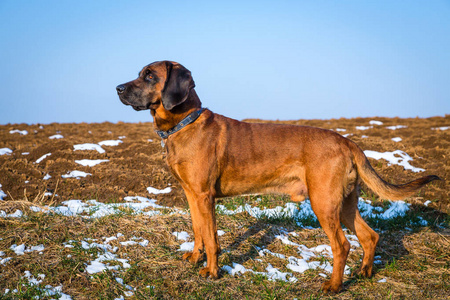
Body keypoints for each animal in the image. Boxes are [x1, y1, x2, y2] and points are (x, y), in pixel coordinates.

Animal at [116, 61, 440, 292]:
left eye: (149, 76)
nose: (118, 88)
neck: (184, 122)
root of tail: (348, 142)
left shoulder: (205, 196)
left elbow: (211, 237)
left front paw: (212, 271)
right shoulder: (191, 194)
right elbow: (198, 231)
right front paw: (195, 259)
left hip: (323, 202)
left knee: (342, 245)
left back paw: (334, 286)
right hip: (344, 203)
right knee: (369, 236)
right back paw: (365, 273)